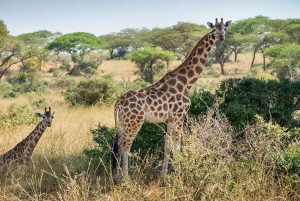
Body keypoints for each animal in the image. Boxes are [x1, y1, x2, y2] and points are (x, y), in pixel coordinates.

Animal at [112, 18, 232, 183]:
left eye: (224, 29)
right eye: (214, 29)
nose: (221, 37)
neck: (186, 82)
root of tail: (118, 103)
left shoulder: (170, 118)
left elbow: (168, 145)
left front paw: (164, 177)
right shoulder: (179, 115)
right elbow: (178, 144)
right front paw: (181, 174)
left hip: (124, 123)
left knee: (117, 144)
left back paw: (116, 178)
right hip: (135, 122)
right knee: (125, 146)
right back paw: (126, 179)